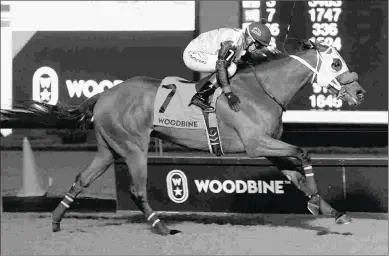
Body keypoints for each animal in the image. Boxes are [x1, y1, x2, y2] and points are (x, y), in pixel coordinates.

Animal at [0, 39, 364, 235]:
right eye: (336, 62)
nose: (359, 92)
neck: (262, 89)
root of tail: (104, 95)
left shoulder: (268, 148)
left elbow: (298, 173)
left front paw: (330, 209)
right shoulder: (255, 144)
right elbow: (303, 154)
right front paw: (318, 204)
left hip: (107, 149)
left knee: (81, 179)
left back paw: (56, 221)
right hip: (133, 147)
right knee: (136, 189)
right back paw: (161, 227)